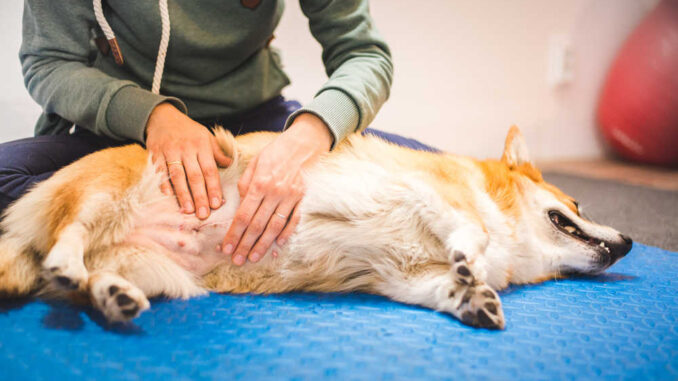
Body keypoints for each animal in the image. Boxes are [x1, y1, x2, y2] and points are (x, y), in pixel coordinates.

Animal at [0, 126, 632, 328]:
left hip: (155, 270)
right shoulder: (425, 191)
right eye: (574, 201)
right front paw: (471, 261)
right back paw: (66, 263)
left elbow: (444, 287)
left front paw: (472, 298)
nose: (629, 242)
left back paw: (112, 296)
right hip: (103, 194)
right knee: (69, 240)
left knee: (90, 280)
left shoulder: (402, 277)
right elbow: (466, 229)